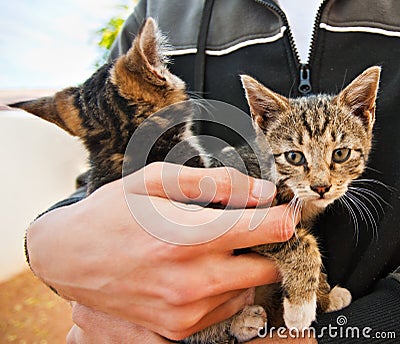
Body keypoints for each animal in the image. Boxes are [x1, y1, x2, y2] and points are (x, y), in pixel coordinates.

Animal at [10, 16, 382, 344]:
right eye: (294, 157)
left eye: (340, 154)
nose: (321, 186)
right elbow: (299, 242)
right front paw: (302, 307)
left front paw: (325, 295)